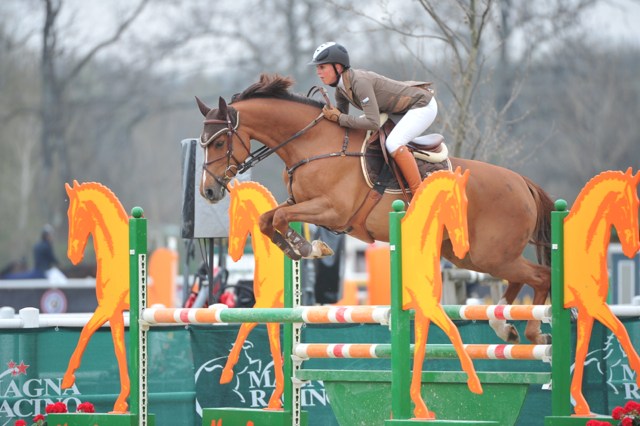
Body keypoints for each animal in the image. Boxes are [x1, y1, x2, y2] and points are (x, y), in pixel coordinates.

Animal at [62, 181, 130, 412]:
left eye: (78, 215)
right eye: (68, 214)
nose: (72, 256)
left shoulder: (107, 308)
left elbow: (85, 331)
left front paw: (67, 379)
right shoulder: (116, 314)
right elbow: (120, 351)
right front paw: (121, 403)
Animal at [196, 73, 556, 346]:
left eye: (218, 142)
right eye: (202, 143)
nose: (208, 191)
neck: (314, 144)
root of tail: (523, 183)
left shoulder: (332, 211)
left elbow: (281, 218)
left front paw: (307, 247)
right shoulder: (300, 203)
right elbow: (267, 219)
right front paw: (299, 247)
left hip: (490, 253)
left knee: (541, 276)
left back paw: (534, 333)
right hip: (470, 255)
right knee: (519, 280)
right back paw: (505, 328)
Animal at [224, 180, 286, 410]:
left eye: (232, 212)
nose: (232, 253)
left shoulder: (264, 306)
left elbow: (243, 327)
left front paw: (226, 373)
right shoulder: (272, 314)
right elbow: (275, 351)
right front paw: (276, 399)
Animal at [400, 167, 480, 420]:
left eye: (467, 203)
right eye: (454, 204)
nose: (464, 248)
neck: (419, 246)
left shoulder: (423, 311)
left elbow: (419, 351)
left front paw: (420, 408)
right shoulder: (429, 306)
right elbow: (454, 330)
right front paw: (475, 384)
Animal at [564, 168, 640, 414]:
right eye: (626, 204)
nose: (633, 248)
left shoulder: (587, 310)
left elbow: (581, 349)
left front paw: (580, 405)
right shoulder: (594, 305)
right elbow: (621, 329)